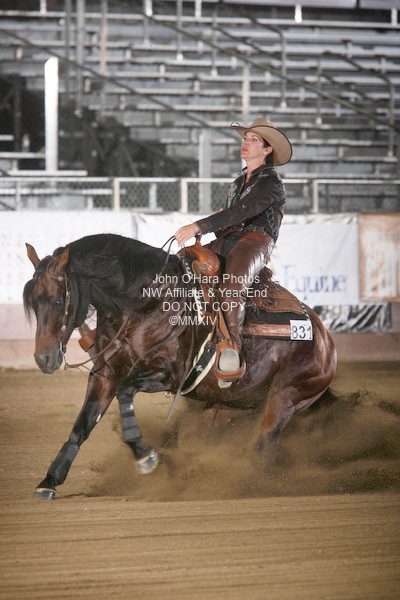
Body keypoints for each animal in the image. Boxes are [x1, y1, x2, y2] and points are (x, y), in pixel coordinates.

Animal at [23, 233, 337, 499]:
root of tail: (325, 339)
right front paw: (49, 480)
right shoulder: (105, 374)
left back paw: (243, 485)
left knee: (264, 446)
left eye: (58, 300)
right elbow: (82, 425)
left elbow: (125, 392)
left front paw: (144, 455)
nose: (43, 358)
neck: (146, 300)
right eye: (34, 304)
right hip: (230, 406)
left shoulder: (170, 375)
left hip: (286, 395)